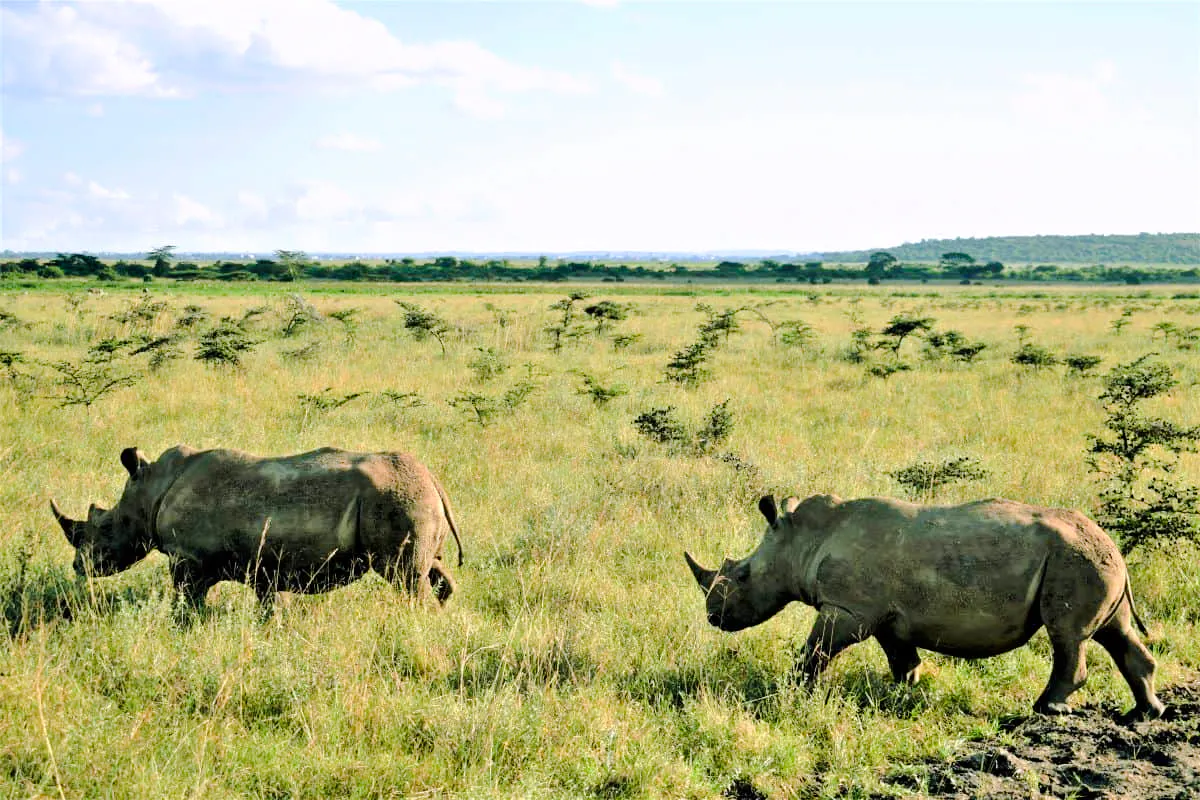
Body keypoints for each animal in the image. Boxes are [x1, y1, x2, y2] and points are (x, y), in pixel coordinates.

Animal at [52, 445, 463, 610]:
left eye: (106, 527)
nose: (78, 567)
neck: (151, 491)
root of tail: (433, 479)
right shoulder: (264, 567)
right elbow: (268, 606)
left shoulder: (188, 559)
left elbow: (185, 604)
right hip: (412, 499)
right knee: (430, 571)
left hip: (395, 499)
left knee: (405, 578)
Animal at [685, 494, 1165, 720]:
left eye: (743, 576)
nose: (713, 617)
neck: (803, 538)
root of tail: (1113, 546)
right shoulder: (880, 615)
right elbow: (901, 656)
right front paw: (904, 690)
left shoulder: (847, 609)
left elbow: (815, 651)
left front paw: (790, 691)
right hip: (1092, 560)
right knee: (1115, 632)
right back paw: (1144, 714)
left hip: (1074, 560)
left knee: (1068, 636)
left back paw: (1047, 708)